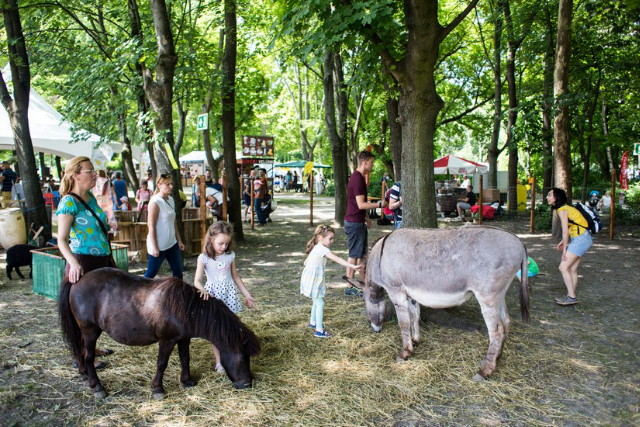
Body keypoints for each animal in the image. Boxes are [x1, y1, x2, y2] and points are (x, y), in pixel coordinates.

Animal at [57, 270, 262, 400]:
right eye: (242, 359)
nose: (246, 384)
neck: (185, 307)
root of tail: (78, 279)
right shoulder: (167, 340)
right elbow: (162, 363)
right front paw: (158, 389)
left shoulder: (183, 339)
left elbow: (185, 358)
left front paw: (187, 381)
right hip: (90, 331)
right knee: (89, 356)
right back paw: (97, 387)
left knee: (81, 353)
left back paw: (84, 374)